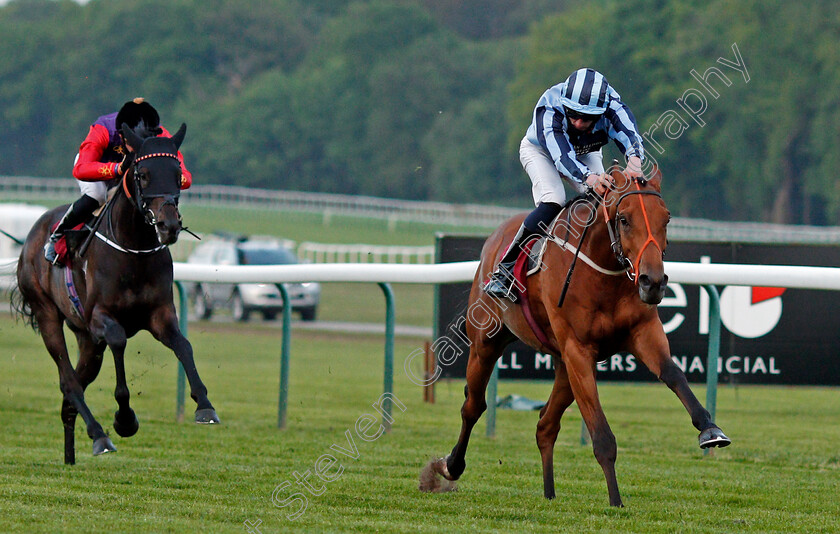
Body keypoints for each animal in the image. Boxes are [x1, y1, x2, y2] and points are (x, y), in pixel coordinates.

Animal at [14, 123, 218, 466]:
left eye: (178, 173)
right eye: (143, 174)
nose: (169, 226)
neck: (133, 250)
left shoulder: (160, 314)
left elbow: (183, 346)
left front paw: (204, 405)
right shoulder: (101, 318)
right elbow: (120, 342)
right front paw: (124, 420)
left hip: (86, 339)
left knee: (73, 388)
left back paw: (71, 453)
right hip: (47, 314)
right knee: (69, 381)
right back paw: (99, 435)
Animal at [424, 166, 732, 506]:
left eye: (666, 218)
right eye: (624, 219)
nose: (653, 282)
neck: (604, 271)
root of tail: (495, 238)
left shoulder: (643, 332)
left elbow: (674, 374)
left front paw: (710, 430)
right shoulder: (578, 349)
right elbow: (602, 434)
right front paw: (616, 501)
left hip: (562, 365)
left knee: (545, 425)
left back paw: (549, 493)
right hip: (486, 344)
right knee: (474, 406)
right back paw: (450, 466)